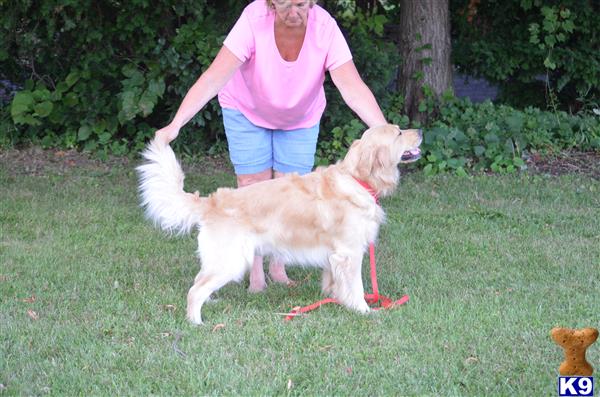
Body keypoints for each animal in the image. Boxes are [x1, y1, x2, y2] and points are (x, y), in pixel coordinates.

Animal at [138, 124, 422, 324]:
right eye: (398, 132)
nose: (419, 131)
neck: (356, 179)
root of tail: (212, 202)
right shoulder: (349, 253)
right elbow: (357, 287)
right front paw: (364, 310)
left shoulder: (334, 255)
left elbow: (335, 283)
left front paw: (335, 299)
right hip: (231, 261)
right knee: (194, 291)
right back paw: (196, 322)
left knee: (199, 281)